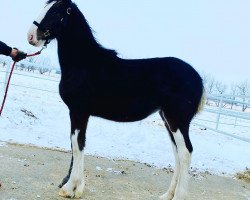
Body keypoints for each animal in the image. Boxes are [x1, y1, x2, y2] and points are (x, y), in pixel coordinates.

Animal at [27, 0, 204, 199]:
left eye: (56, 12)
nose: (31, 36)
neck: (84, 63)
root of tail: (198, 79)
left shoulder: (78, 111)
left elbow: (77, 145)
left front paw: (69, 187)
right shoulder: (81, 113)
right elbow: (79, 144)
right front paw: (77, 188)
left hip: (177, 120)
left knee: (185, 153)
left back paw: (179, 195)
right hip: (168, 120)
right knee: (177, 153)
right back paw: (167, 195)